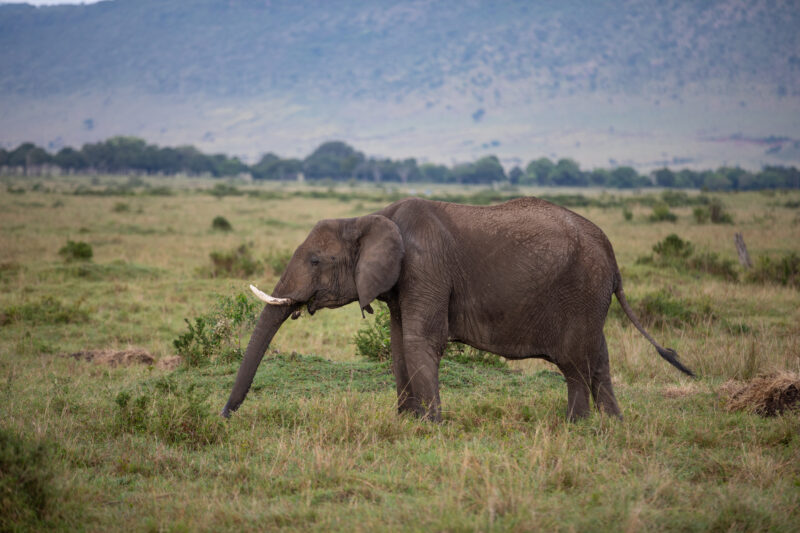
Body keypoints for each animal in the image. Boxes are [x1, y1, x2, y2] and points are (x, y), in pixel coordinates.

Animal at [221, 196, 694, 422]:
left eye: (317, 261)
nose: (226, 416)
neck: (371, 216)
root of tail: (611, 254)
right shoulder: (404, 279)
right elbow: (400, 345)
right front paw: (407, 424)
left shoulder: (426, 265)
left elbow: (419, 341)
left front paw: (431, 427)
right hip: (592, 299)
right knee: (599, 358)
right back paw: (613, 425)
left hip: (581, 291)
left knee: (576, 363)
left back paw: (575, 427)